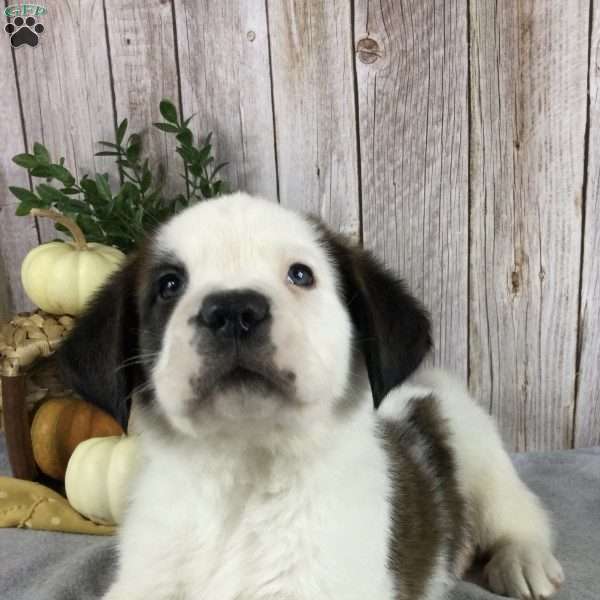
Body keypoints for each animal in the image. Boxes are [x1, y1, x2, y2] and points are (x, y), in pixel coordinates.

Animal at [58, 193, 564, 600]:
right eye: (169, 285)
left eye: (300, 275)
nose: (233, 311)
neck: (243, 482)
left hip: (480, 456)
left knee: (517, 514)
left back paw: (522, 559)